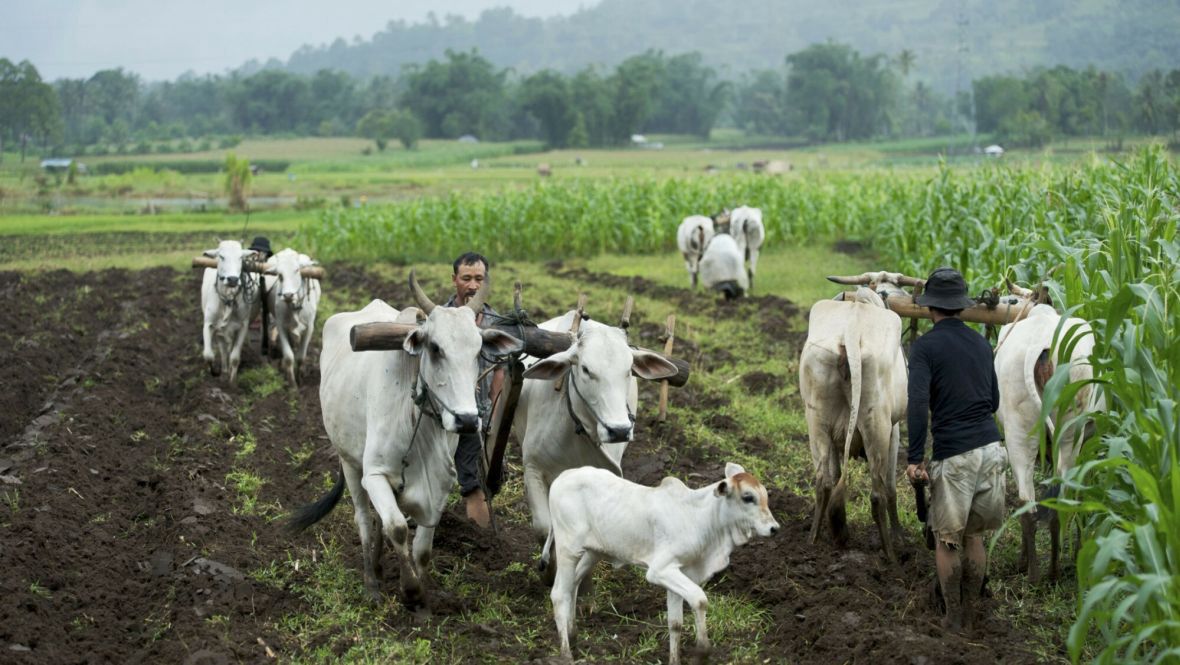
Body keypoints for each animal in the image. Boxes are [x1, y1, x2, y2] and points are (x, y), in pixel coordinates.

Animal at [545, 462, 783, 665]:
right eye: (748, 497)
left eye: (765, 495)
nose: (774, 528)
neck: (700, 518)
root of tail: (563, 476)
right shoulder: (660, 570)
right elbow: (699, 599)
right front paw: (703, 651)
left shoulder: (678, 572)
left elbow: (675, 623)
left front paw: (675, 659)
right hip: (568, 549)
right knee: (559, 593)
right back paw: (566, 653)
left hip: (592, 552)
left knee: (572, 585)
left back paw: (573, 635)